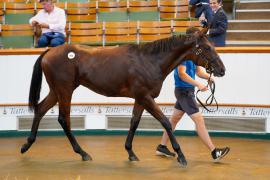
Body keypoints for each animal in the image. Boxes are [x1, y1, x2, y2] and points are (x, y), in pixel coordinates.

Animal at [20, 27, 226, 167]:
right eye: (207, 48)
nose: (222, 70)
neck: (150, 61)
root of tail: (49, 51)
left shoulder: (141, 98)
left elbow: (134, 122)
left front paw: (130, 152)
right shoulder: (145, 97)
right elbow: (166, 122)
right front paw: (181, 156)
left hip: (57, 91)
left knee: (40, 109)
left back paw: (27, 145)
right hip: (65, 91)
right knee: (64, 119)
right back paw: (83, 153)